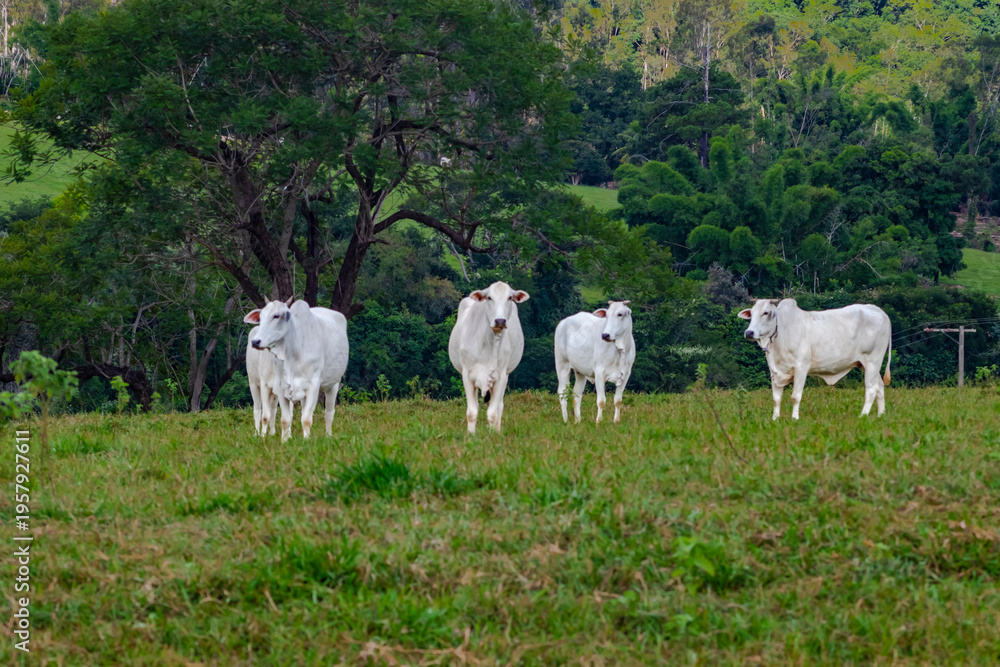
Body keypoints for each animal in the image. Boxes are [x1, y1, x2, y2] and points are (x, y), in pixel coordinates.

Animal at [245, 297, 349, 439]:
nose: (255, 342)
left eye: (276, 316)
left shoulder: (313, 385)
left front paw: (306, 440)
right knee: (258, 410)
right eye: (260, 317)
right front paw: (284, 440)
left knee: (328, 412)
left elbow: (306, 419)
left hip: (334, 384)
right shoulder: (278, 386)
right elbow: (283, 419)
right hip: (253, 383)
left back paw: (328, 435)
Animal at [448, 282, 530, 434]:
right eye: (489, 297)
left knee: (499, 407)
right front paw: (471, 434)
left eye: (510, 297)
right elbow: (472, 412)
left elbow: (493, 412)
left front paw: (492, 435)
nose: (500, 320)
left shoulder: (501, 376)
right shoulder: (467, 375)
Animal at [738, 298, 892, 420]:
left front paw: (794, 418)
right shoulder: (775, 371)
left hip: (872, 361)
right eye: (751, 313)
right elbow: (776, 398)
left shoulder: (801, 367)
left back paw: (863, 416)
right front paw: (775, 419)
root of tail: (879, 311)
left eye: (765, 313)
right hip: (868, 365)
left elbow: (796, 396)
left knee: (871, 389)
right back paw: (881, 415)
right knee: (879, 387)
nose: (749, 332)